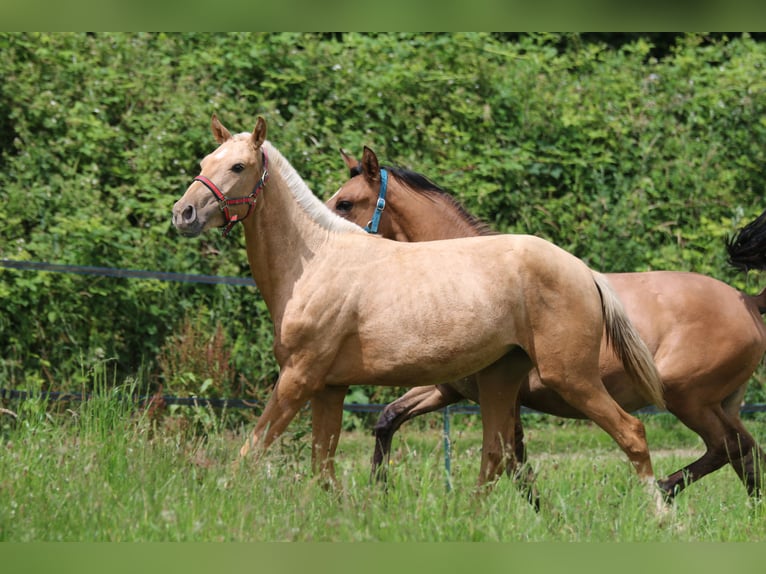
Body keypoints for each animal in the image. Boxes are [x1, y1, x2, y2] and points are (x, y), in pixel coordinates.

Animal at [172, 117, 664, 504]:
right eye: (203, 163)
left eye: (238, 166)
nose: (184, 213)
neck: (315, 261)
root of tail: (583, 270)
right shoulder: (330, 388)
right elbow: (324, 469)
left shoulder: (299, 378)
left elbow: (250, 452)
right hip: (500, 381)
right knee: (496, 455)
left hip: (572, 379)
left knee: (632, 434)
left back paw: (661, 518)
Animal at [328, 146, 766, 502]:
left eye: (345, 203)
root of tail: (747, 301)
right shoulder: (451, 389)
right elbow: (388, 420)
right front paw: (379, 492)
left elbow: (512, 460)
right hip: (719, 403)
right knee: (746, 452)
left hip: (685, 397)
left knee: (726, 448)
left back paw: (662, 490)